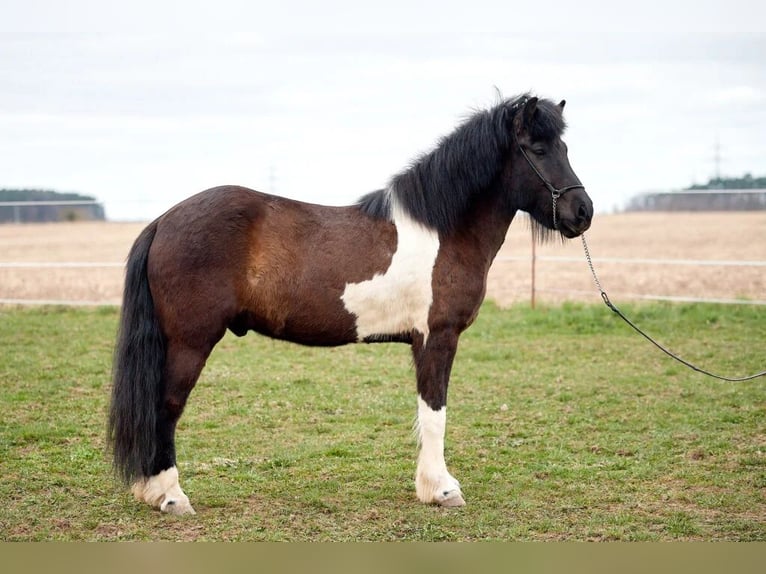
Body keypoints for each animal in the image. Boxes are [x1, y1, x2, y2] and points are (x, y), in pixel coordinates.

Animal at [108, 94, 593, 515]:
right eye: (538, 149)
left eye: (565, 146)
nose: (583, 211)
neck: (443, 229)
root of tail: (163, 221)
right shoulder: (438, 338)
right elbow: (435, 412)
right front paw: (443, 490)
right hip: (190, 341)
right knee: (166, 407)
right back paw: (171, 497)